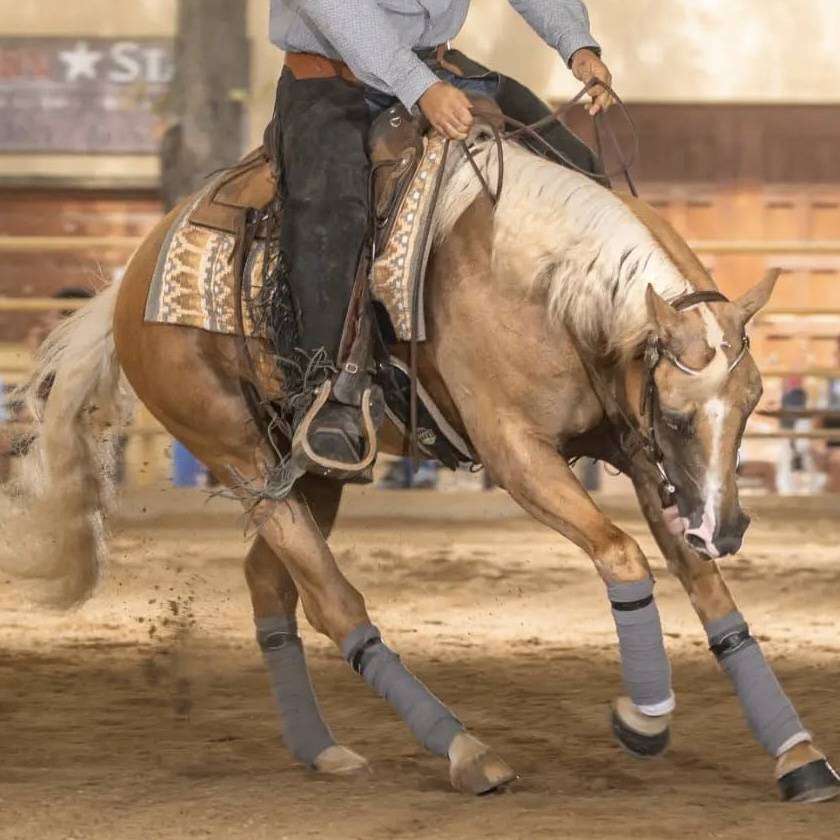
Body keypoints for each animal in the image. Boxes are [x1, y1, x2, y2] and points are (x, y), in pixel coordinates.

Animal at [5, 135, 838, 803]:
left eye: (755, 401)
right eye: (680, 417)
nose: (726, 528)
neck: (542, 282)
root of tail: (132, 275)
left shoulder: (633, 451)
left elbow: (704, 586)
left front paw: (797, 755)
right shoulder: (517, 452)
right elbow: (622, 554)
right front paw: (644, 717)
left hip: (311, 467)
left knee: (272, 584)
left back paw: (321, 748)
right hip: (236, 456)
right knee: (334, 601)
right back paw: (465, 750)